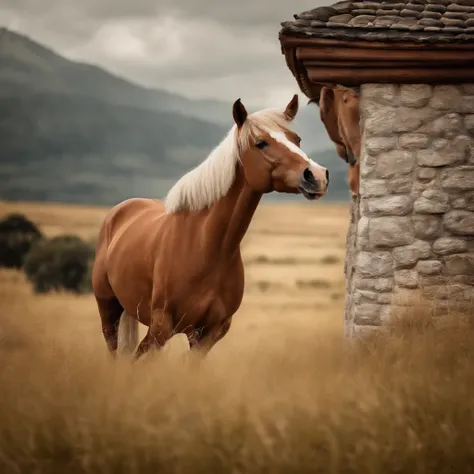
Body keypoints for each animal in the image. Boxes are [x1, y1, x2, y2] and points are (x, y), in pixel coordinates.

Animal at [92, 97, 330, 360]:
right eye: (261, 143)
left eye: (297, 139)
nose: (317, 175)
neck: (205, 246)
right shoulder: (160, 329)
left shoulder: (208, 333)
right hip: (109, 313)